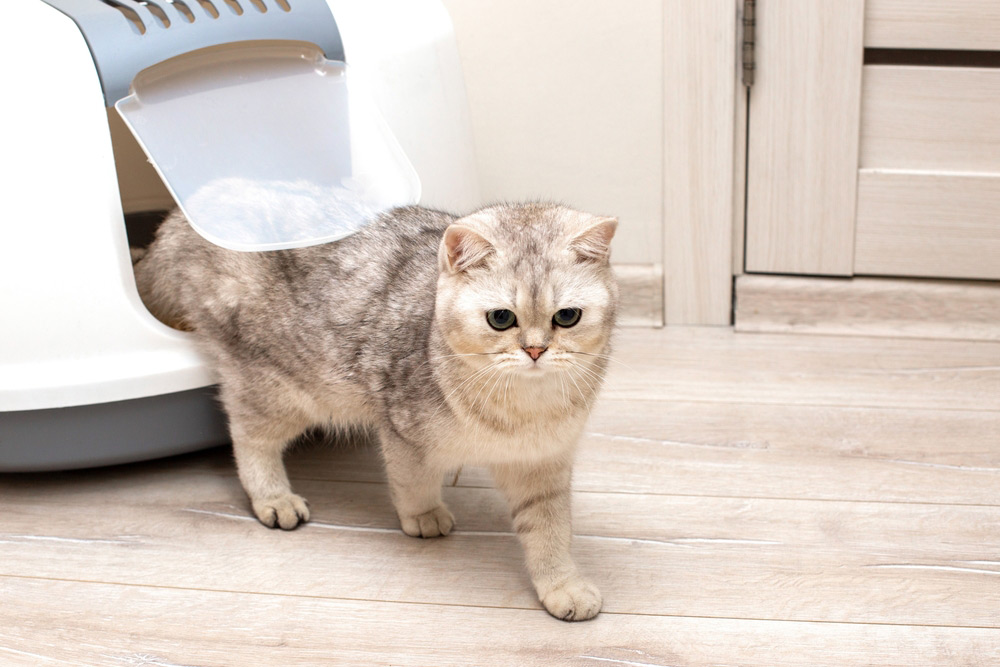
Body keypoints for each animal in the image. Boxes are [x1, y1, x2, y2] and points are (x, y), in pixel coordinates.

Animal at [133, 198, 616, 620]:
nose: (535, 350)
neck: (522, 410)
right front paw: (423, 516)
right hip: (279, 385)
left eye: (567, 317)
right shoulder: (402, 432)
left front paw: (562, 586)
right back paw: (274, 497)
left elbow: (550, 532)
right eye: (501, 318)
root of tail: (177, 223)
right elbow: (412, 482)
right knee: (248, 436)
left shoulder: (542, 466)